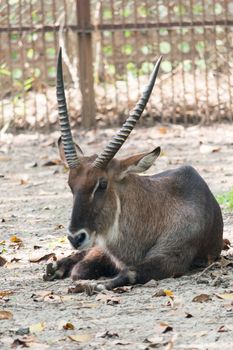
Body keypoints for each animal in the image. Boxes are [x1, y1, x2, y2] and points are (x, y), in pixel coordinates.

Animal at [43, 49, 224, 290]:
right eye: (70, 185)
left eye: (102, 184)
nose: (75, 237)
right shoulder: (103, 250)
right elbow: (82, 268)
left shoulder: (171, 258)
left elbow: (127, 273)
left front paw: (97, 285)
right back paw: (54, 267)